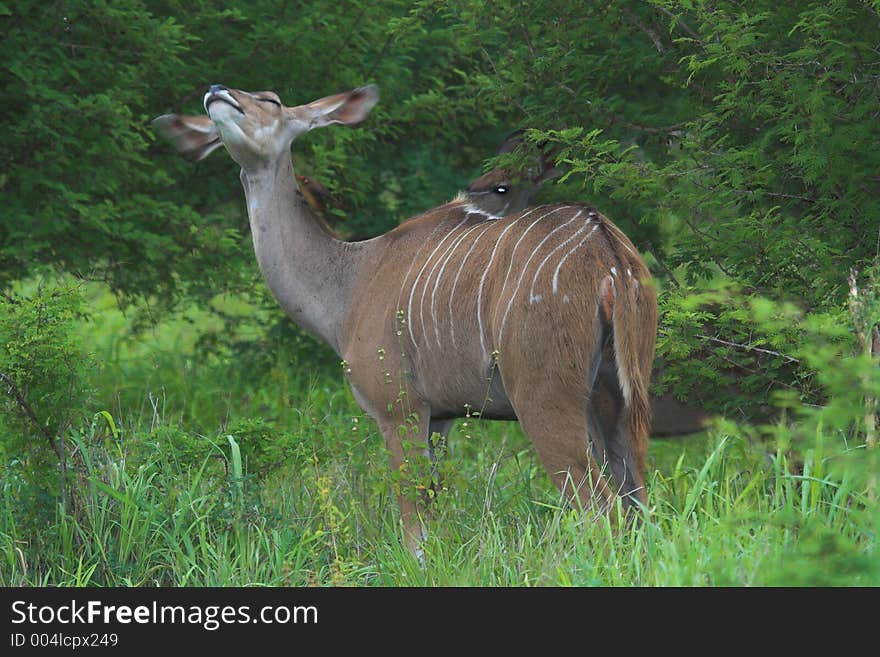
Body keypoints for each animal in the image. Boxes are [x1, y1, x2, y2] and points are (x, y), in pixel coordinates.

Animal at [155, 82, 656, 552]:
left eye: (272, 100)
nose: (217, 91)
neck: (349, 283)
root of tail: (607, 254)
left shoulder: (399, 408)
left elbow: (417, 530)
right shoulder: (441, 418)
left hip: (544, 397)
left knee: (601, 511)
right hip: (621, 400)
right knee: (639, 506)